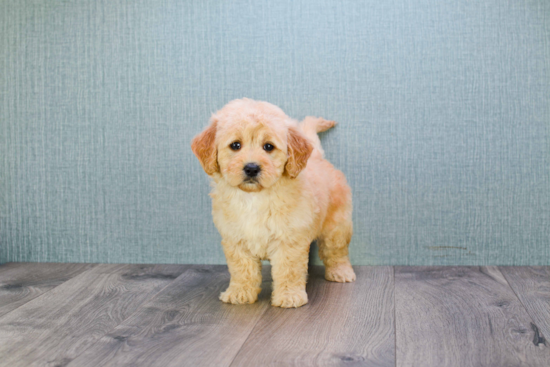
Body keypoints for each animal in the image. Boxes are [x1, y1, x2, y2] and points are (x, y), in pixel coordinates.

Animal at [192, 99, 356, 310]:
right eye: (235, 145)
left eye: (268, 147)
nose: (251, 168)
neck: (254, 197)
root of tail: (318, 156)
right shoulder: (235, 240)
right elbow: (241, 269)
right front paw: (240, 292)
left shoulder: (289, 240)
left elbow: (289, 270)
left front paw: (289, 296)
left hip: (337, 225)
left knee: (336, 250)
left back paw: (340, 272)